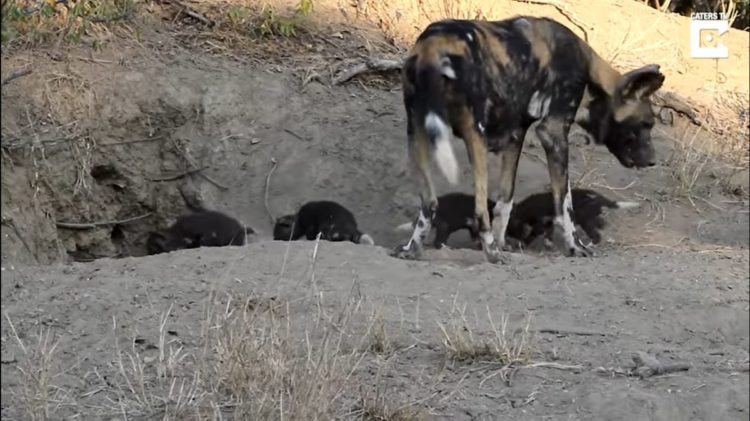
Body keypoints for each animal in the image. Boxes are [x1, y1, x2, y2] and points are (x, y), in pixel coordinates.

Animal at [506, 188, 640, 244]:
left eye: (510, 227)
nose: (507, 237)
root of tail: (598, 197)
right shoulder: (548, 222)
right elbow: (548, 235)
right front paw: (549, 245)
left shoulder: (541, 221)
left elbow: (535, 234)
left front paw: (524, 243)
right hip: (589, 218)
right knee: (600, 224)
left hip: (585, 220)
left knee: (596, 236)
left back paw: (588, 245)